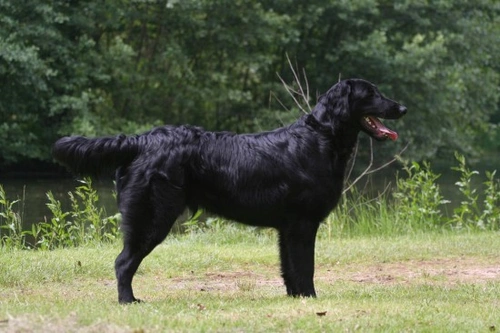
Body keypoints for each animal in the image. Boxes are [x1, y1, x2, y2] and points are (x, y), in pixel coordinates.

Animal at [52, 79, 408, 302]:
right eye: (371, 93)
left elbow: (290, 268)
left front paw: (296, 299)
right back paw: (129, 301)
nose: (403, 108)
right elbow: (305, 267)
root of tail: (140, 140)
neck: (321, 137)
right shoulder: (303, 224)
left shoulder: (287, 228)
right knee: (123, 262)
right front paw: (310, 299)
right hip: (152, 217)